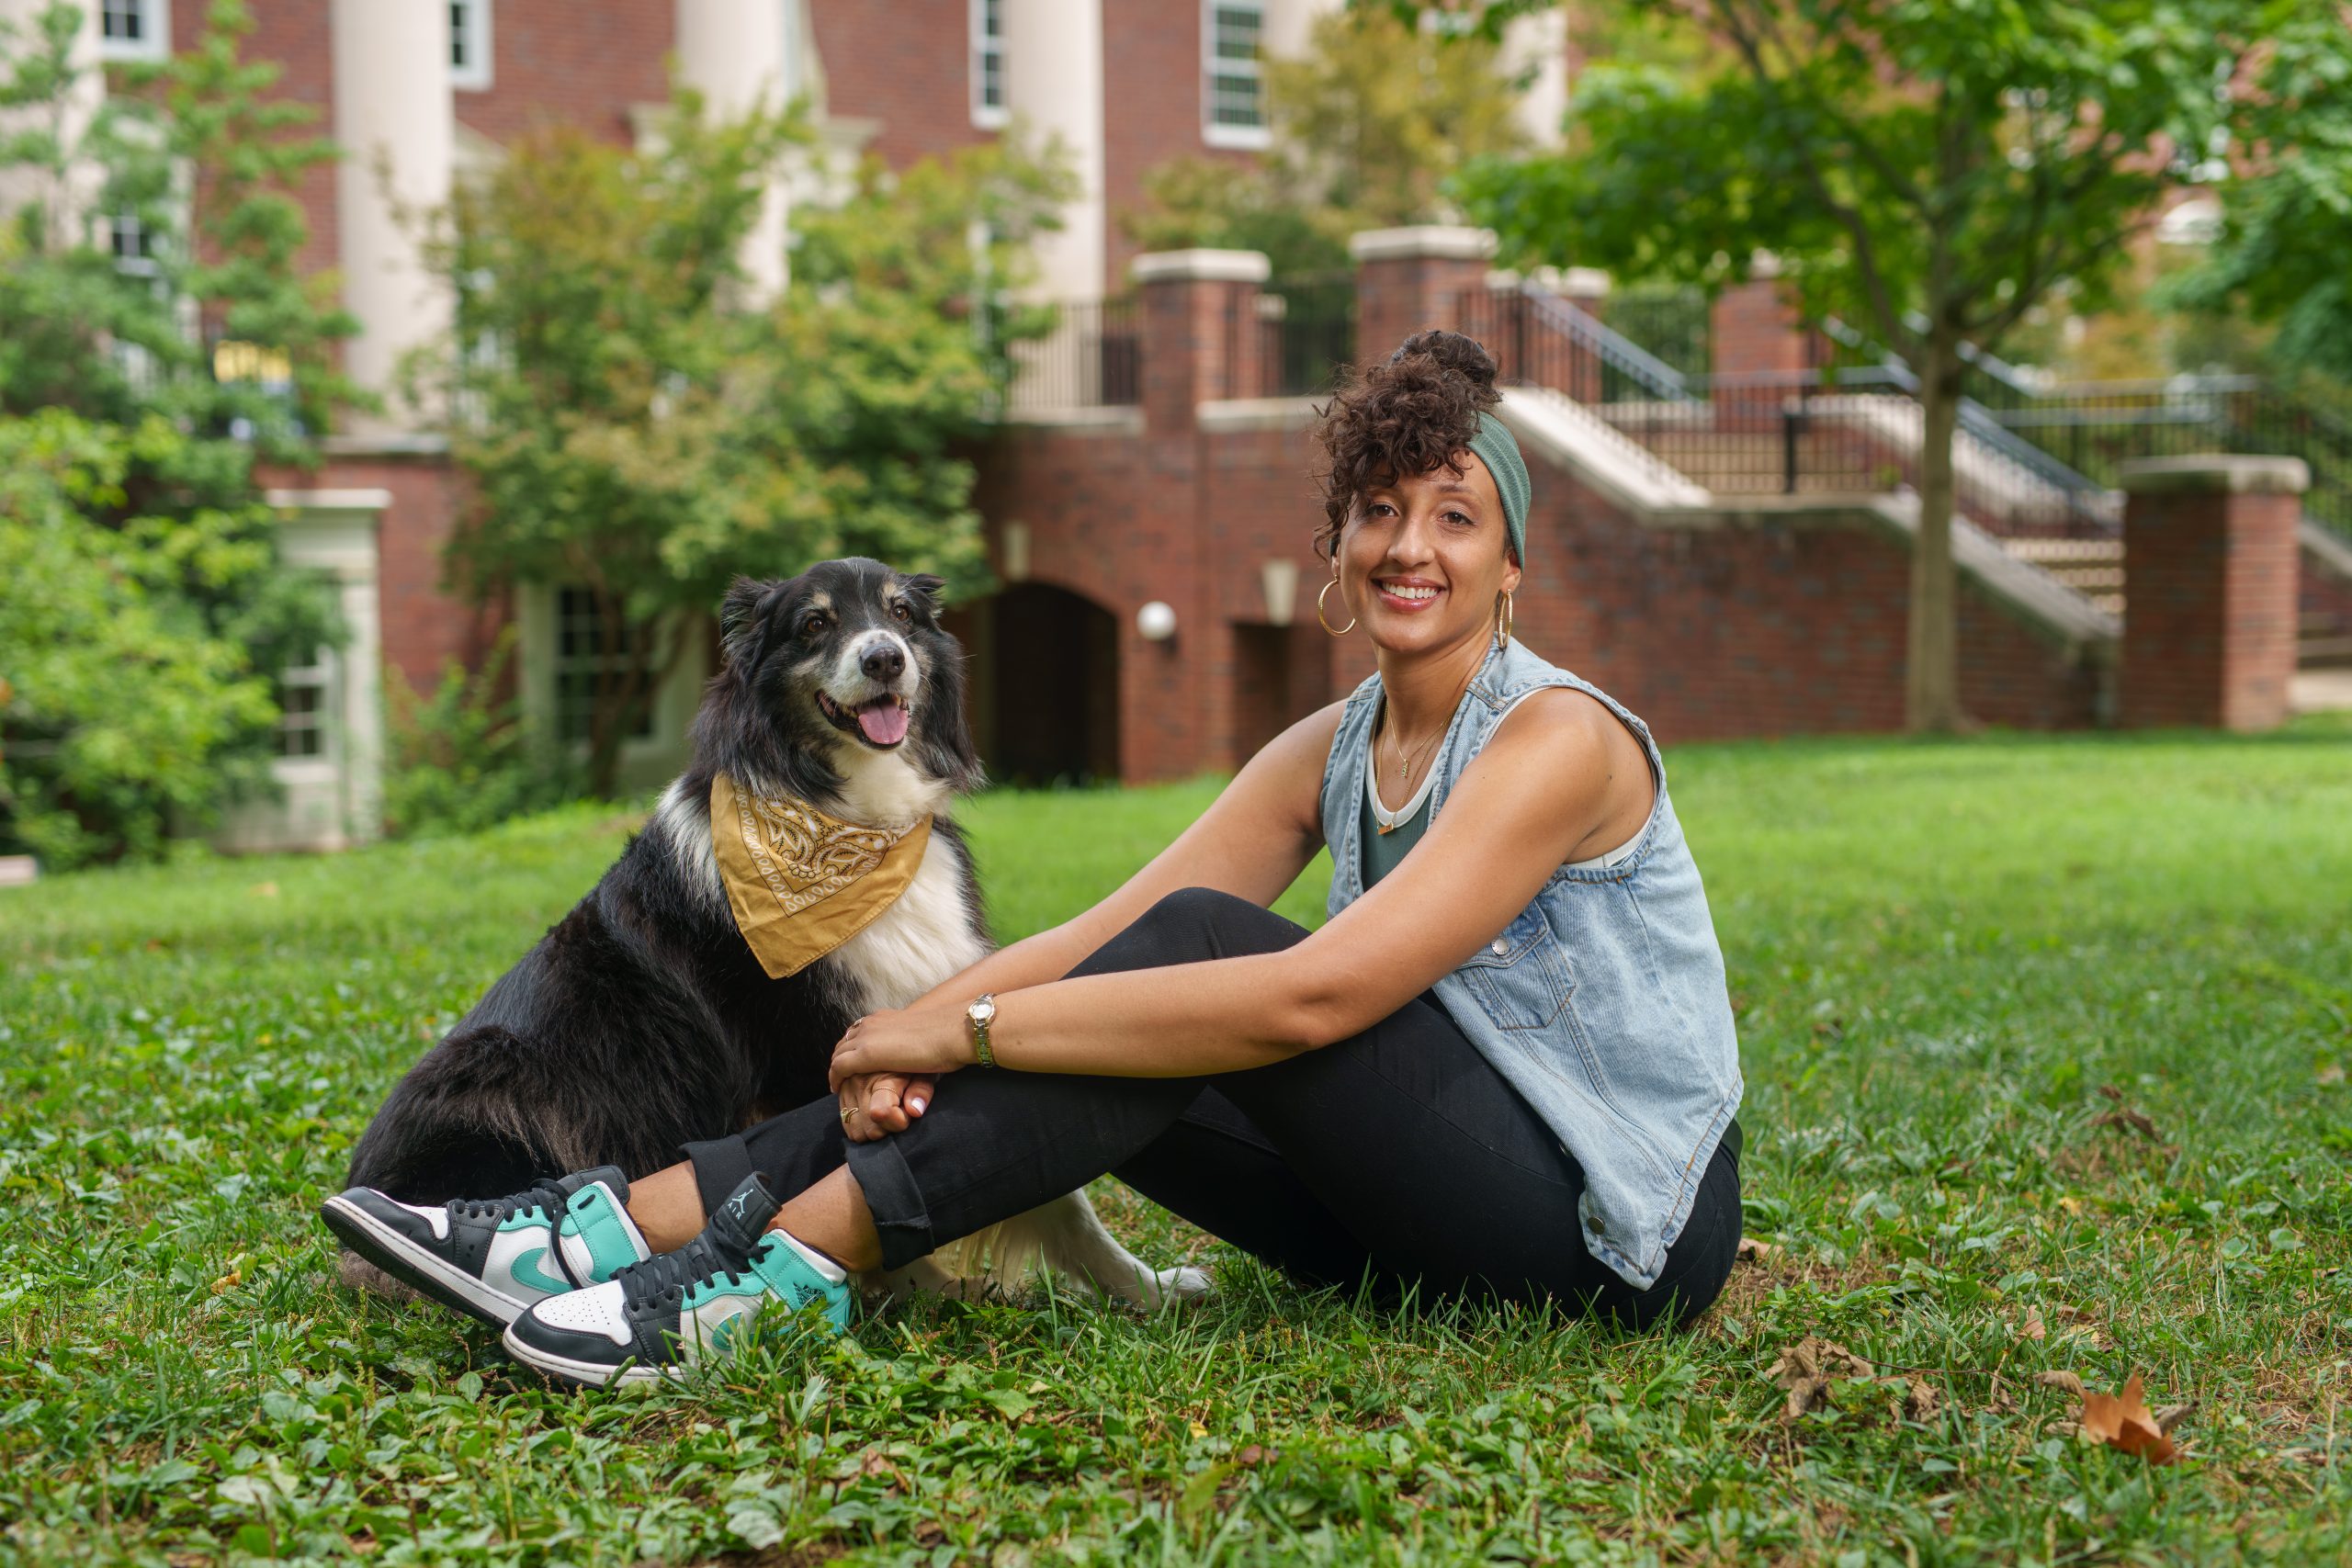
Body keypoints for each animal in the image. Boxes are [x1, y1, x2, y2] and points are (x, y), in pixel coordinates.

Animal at [347, 557, 1213, 1306]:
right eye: (816, 623)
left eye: (901, 613)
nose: (885, 658)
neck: (846, 816)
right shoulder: (806, 1051)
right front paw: (910, 1283)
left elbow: (1063, 1196)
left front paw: (1146, 1290)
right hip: (506, 1080)